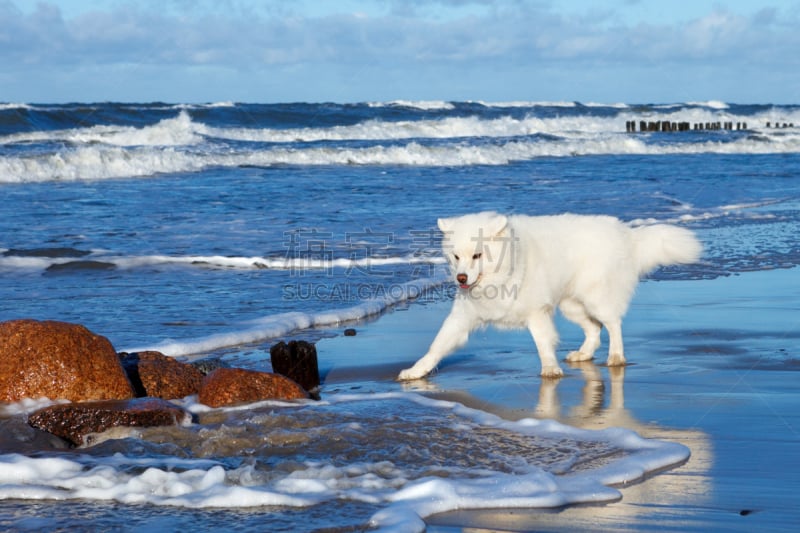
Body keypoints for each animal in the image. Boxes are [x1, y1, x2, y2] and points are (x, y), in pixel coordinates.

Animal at [398, 210, 700, 380]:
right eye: (456, 256)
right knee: (594, 329)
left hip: (595, 298)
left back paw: (616, 356)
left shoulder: (537, 312)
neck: (507, 270)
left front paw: (550, 370)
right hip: (571, 305)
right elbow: (436, 346)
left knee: (613, 324)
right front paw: (416, 371)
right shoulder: (463, 317)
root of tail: (627, 235)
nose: (461, 279)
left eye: (477, 255)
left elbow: (543, 343)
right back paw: (583, 354)